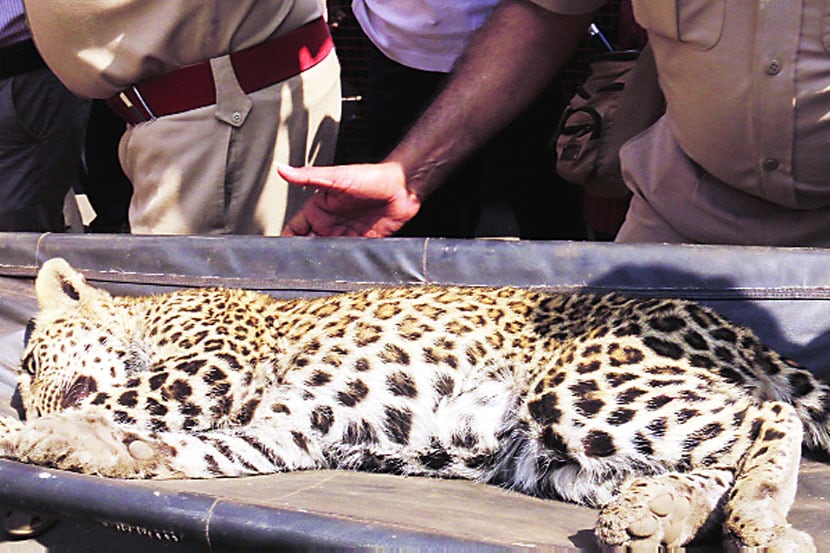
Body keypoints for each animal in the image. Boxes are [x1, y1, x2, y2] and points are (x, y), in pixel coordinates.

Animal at [6, 256, 830, 548]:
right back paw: (658, 515)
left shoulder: (213, 363)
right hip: (559, 460)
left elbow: (130, 396)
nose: (26, 398)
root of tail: (732, 326)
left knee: (765, 415)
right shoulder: (283, 433)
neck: (148, 314)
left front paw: (32, 433)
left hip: (575, 389)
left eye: (31, 361)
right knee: (705, 455)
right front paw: (72, 444)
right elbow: (178, 447)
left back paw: (760, 515)